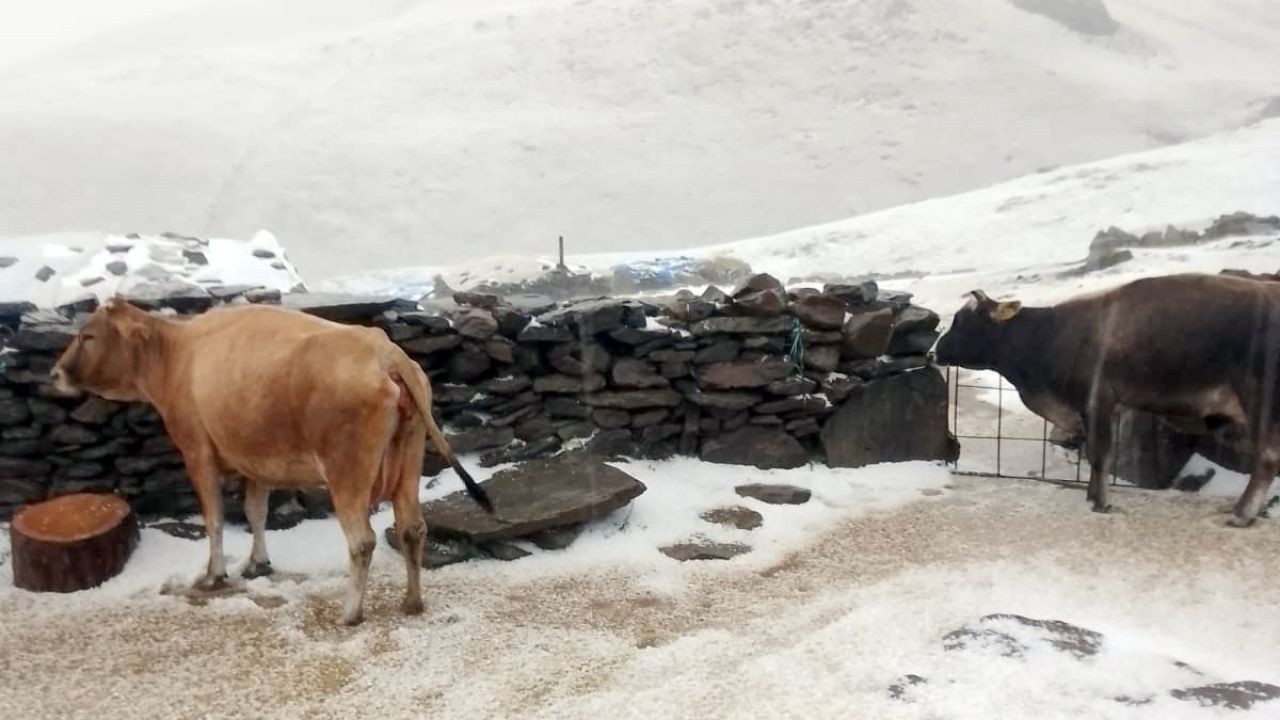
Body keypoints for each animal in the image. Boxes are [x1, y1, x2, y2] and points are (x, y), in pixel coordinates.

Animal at [49, 297, 491, 622]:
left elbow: (214, 519)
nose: (55, 374)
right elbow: (255, 512)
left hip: (347, 470)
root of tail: (383, 350)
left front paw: (214, 574)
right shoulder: (254, 460)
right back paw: (412, 602)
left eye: (87, 335)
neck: (175, 355)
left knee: (362, 540)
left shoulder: (196, 450)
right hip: (409, 457)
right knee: (412, 529)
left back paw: (350, 613)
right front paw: (257, 563)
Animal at [931, 271, 1280, 525]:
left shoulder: (1098, 399)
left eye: (963, 321)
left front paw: (1100, 502)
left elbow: (1100, 454)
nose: (934, 352)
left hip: (1259, 401)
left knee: (1266, 459)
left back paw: (1242, 514)